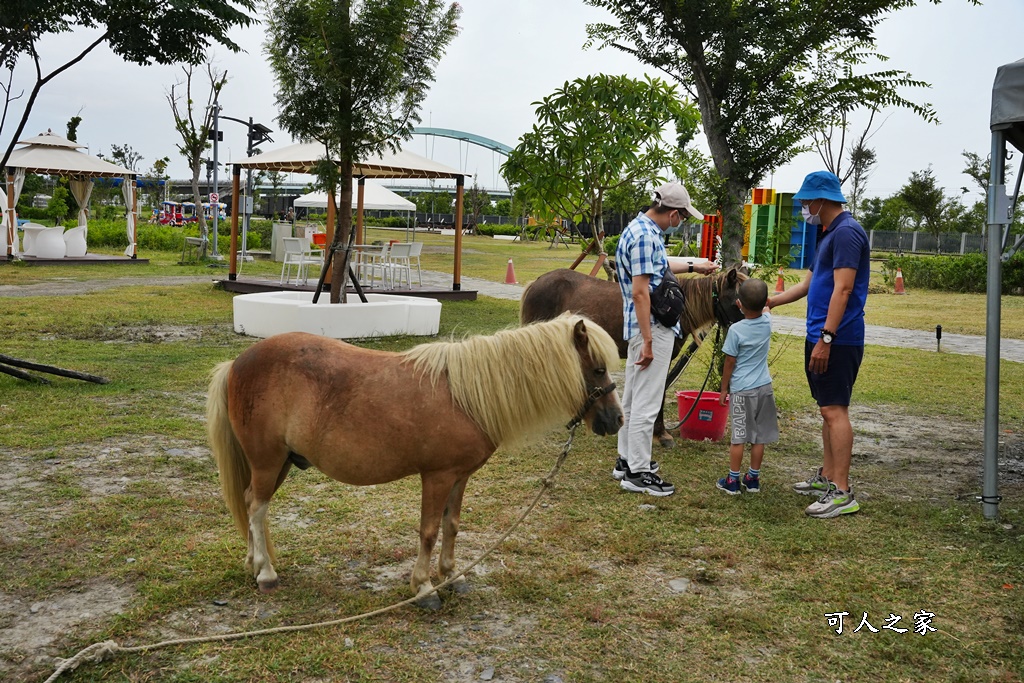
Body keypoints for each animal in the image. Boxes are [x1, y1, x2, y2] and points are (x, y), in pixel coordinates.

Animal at [206, 315, 618, 610]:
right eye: (598, 369)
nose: (615, 420)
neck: (466, 396)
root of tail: (236, 363)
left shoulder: (459, 477)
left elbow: (452, 526)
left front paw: (452, 576)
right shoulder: (436, 476)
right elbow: (430, 531)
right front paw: (424, 587)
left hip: (280, 464)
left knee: (250, 502)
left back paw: (253, 562)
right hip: (268, 462)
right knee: (257, 509)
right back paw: (266, 573)